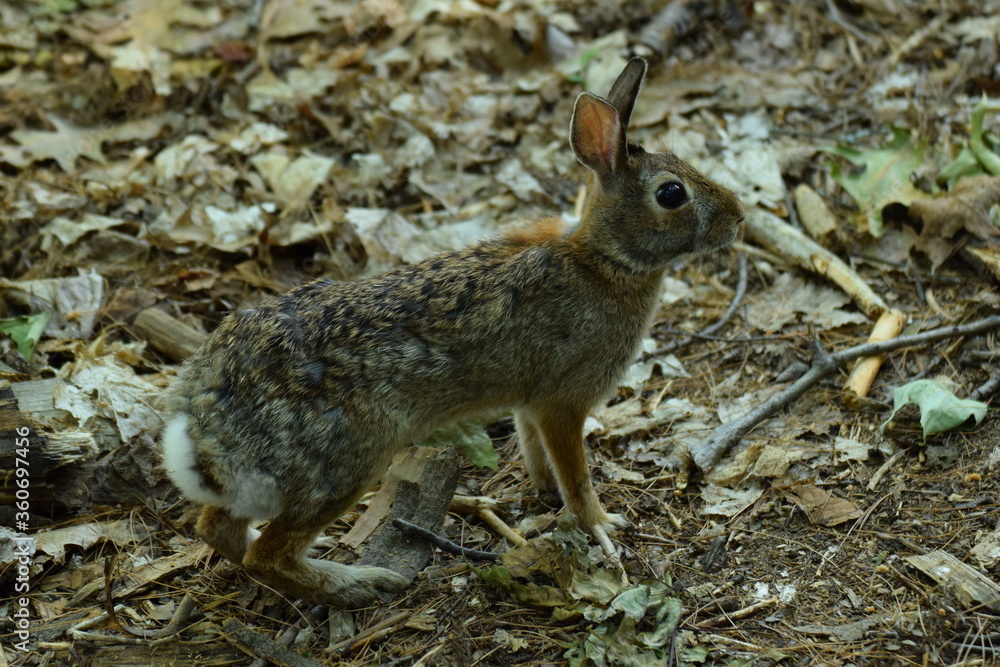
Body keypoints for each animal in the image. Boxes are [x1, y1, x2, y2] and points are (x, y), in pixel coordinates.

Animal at [160, 57, 745, 607]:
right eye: (672, 194)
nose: (738, 217)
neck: (606, 259)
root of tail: (202, 425)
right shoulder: (563, 400)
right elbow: (576, 473)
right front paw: (601, 525)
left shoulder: (531, 404)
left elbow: (536, 451)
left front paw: (544, 492)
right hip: (347, 460)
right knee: (268, 555)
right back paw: (360, 584)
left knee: (218, 531)